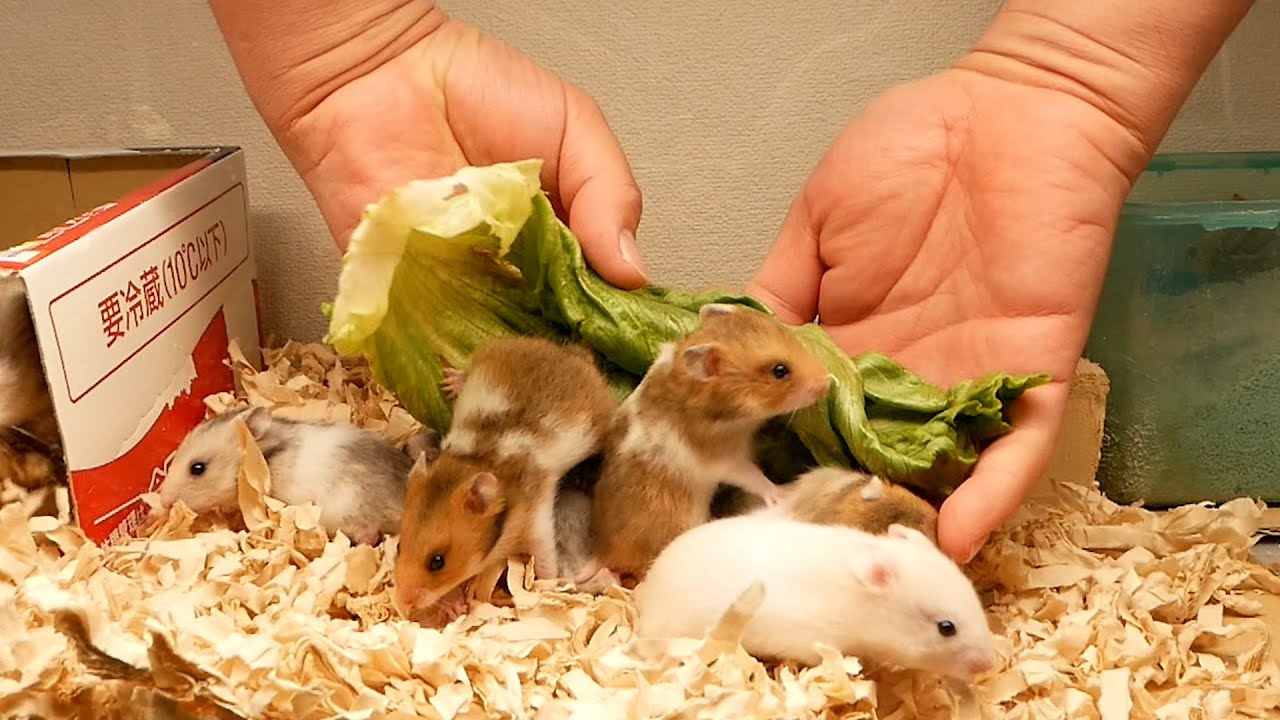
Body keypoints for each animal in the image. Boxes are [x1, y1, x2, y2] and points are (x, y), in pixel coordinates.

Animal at [392, 336, 618, 621]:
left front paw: (545, 585)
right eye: (399, 547)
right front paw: (455, 606)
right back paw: (451, 381)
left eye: (437, 561)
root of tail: (572, 353)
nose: (403, 604)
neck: (479, 462)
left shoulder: (537, 522)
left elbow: (545, 558)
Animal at [577, 303, 831, 586]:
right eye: (780, 371)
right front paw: (783, 491)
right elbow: (756, 478)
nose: (828, 382)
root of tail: (601, 553)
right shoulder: (727, 460)